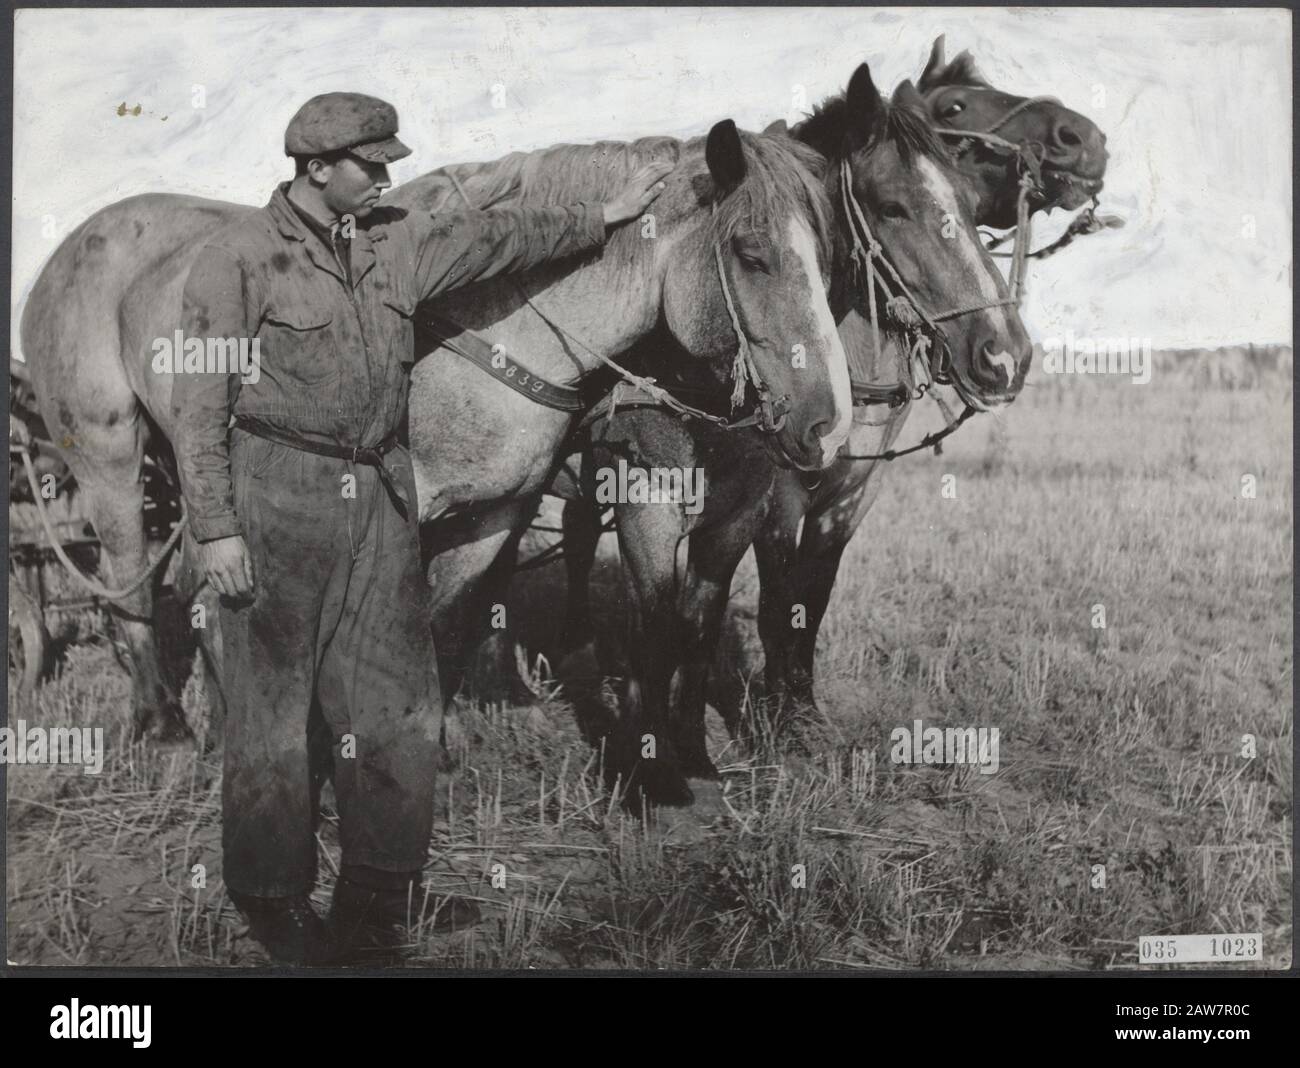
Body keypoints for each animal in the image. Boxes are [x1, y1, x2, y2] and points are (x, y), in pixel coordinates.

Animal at [16, 118, 852, 774]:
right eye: (751, 253)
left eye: (830, 259)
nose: (828, 423)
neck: (483, 326)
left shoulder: (494, 514)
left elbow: (445, 623)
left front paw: (431, 748)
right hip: (110, 457)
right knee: (129, 585)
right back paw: (165, 725)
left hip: (199, 477)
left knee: (199, 590)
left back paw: (225, 725)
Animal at [553, 41, 1108, 789]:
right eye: (893, 207)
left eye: (964, 202)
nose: (1086, 140)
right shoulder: (779, 495)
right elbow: (775, 601)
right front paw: (773, 722)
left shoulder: (850, 493)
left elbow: (810, 599)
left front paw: (802, 710)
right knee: (579, 533)